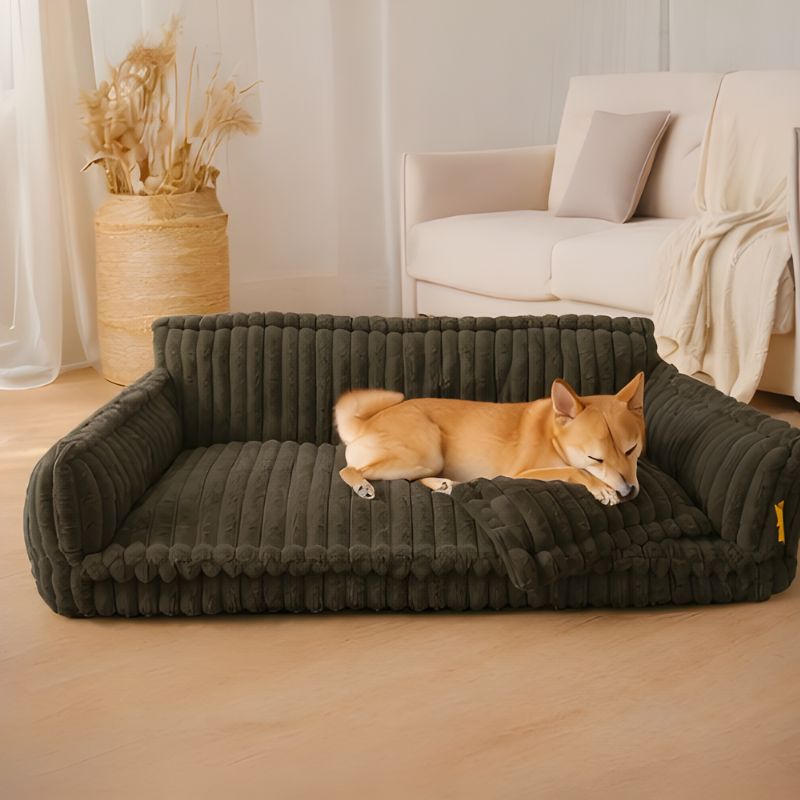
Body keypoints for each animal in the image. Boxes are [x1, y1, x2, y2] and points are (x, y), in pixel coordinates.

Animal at [334, 373, 645, 506]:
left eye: (632, 450)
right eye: (596, 458)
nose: (629, 491)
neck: (555, 439)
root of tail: (364, 423)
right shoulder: (522, 474)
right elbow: (574, 470)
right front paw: (602, 488)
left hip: (426, 461)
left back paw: (443, 484)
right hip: (425, 452)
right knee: (349, 469)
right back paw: (361, 485)